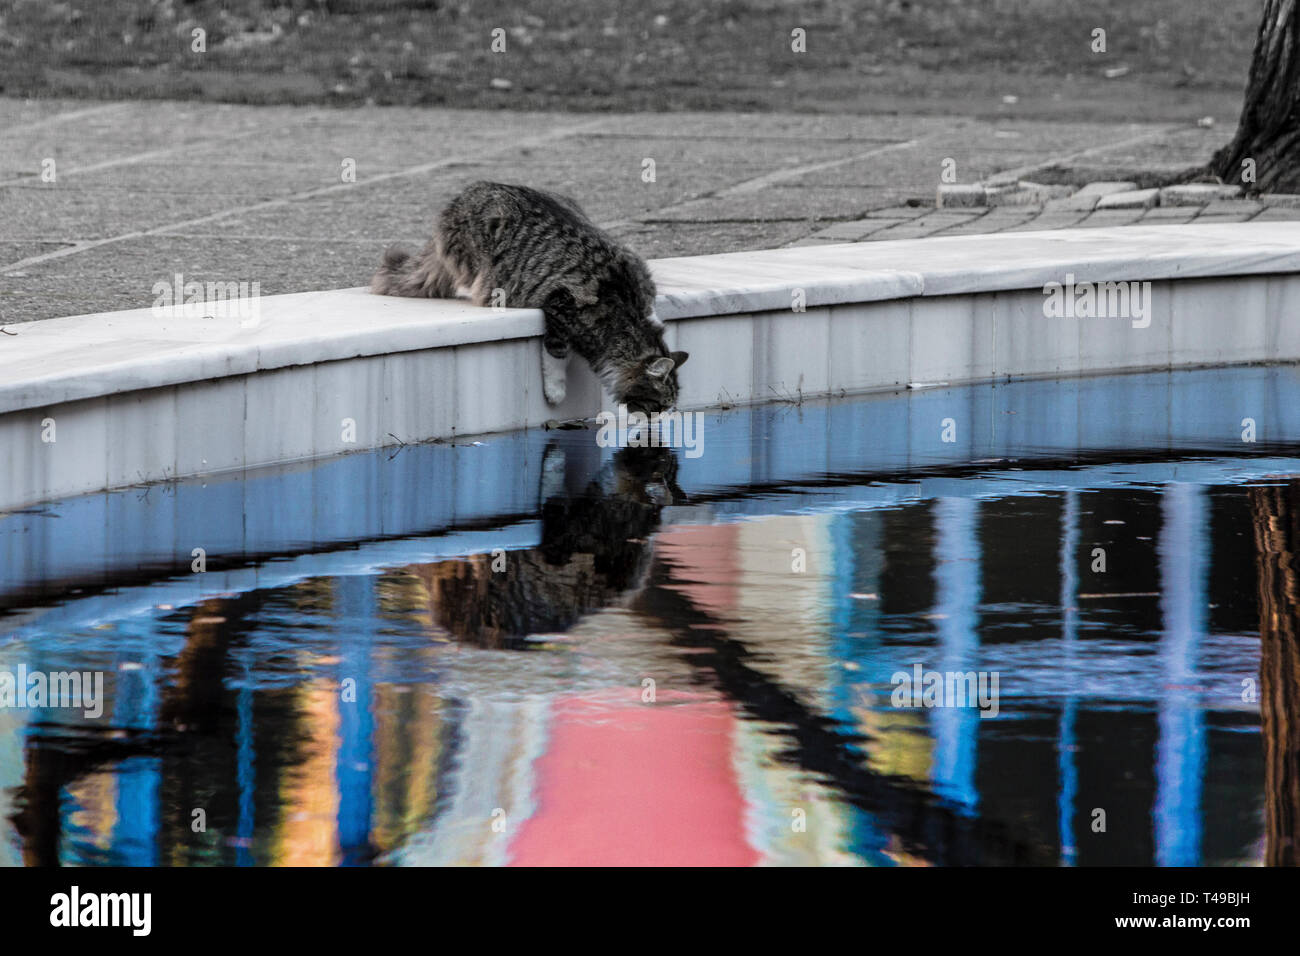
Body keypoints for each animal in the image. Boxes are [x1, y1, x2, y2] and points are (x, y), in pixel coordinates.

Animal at [369, 180, 686, 413]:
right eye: (659, 406)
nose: (662, 421)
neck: (628, 314)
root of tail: (473, 188)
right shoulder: (560, 306)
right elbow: (556, 355)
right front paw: (555, 392)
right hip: (478, 259)